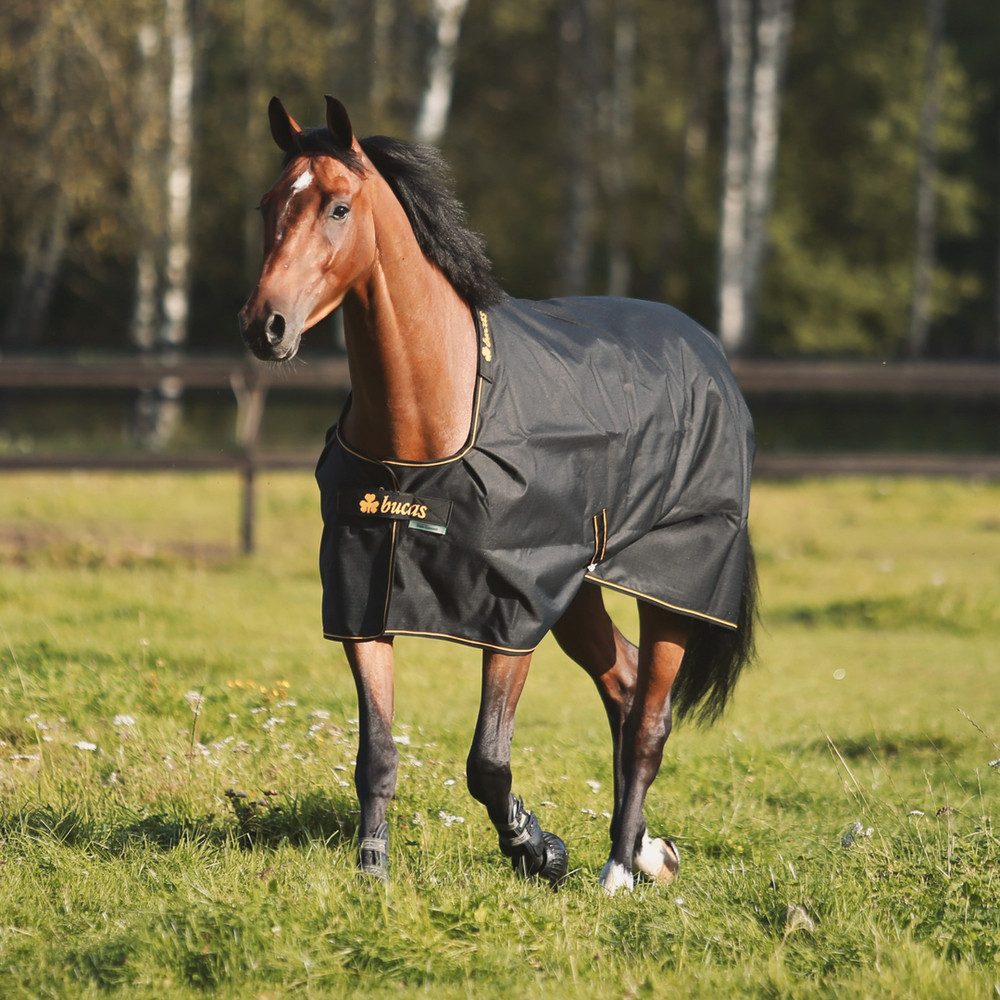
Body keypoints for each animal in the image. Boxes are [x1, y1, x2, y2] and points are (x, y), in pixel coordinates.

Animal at [239, 96, 757, 894]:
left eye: (338, 206)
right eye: (269, 203)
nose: (266, 327)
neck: (430, 426)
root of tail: (705, 350)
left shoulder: (510, 610)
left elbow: (487, 762)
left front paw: (538, 850)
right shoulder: (362, 599)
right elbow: (376, 755)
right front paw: (372, 873)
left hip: (673, 586)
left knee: (648, 719)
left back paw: (617, 868)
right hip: (578, 592)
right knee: (623, 683)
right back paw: (647, 852)